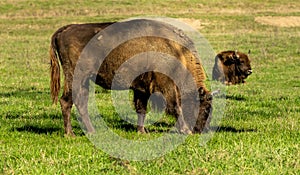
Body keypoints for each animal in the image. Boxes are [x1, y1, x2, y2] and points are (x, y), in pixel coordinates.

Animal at [49, 19, 213, 137]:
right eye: (205, 109)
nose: (200, 131)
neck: (177, 52)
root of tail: (66, 29)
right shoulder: (167, 86)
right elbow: (176, 107)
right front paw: (185, 130)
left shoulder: (142, 90)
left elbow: (141, 109)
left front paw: (142, 131)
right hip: (75, 77)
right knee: (67, 101)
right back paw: (70, 134)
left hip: (84, 80)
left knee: (80, 102)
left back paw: (91, 131)